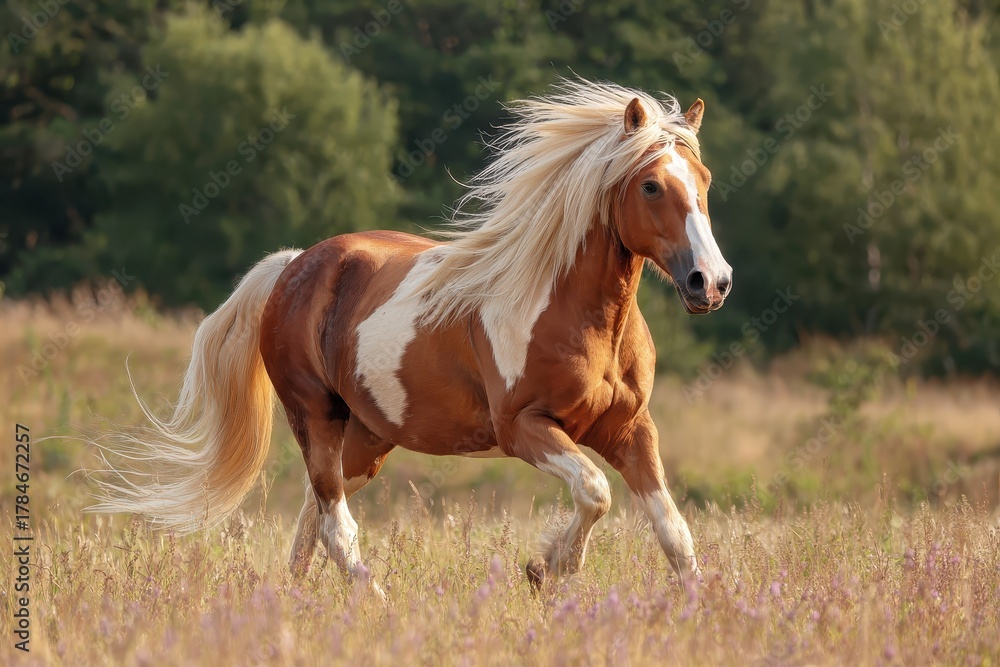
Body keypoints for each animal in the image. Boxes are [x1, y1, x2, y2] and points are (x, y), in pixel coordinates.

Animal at [89, 78, 732, 592]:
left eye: (703, 178)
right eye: (650, 186)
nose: (711, 282)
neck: (576, 317)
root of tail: (294, 266)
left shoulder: (630, 429)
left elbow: (674, 532)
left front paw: (693, 608)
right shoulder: (525, 428)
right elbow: (595, 491)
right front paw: (546, 568)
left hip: (367, 438)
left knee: (314, 516)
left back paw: (289, 601)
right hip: (315, 416)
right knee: (336, 523)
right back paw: (373, 601)